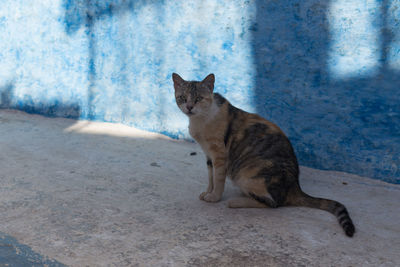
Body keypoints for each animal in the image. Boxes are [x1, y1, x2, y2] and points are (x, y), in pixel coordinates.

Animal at [172, 72, 356, 238]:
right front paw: (207, 192)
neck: (200, 120)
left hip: (247, 175)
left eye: (198, 99)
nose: (189, 107)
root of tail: (295, 187)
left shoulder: (219, 155)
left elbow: (218, 179)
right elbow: (211, 177)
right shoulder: (208, 155)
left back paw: (236, 202)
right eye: (182, 98)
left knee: (273, 203)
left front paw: (215, 197)